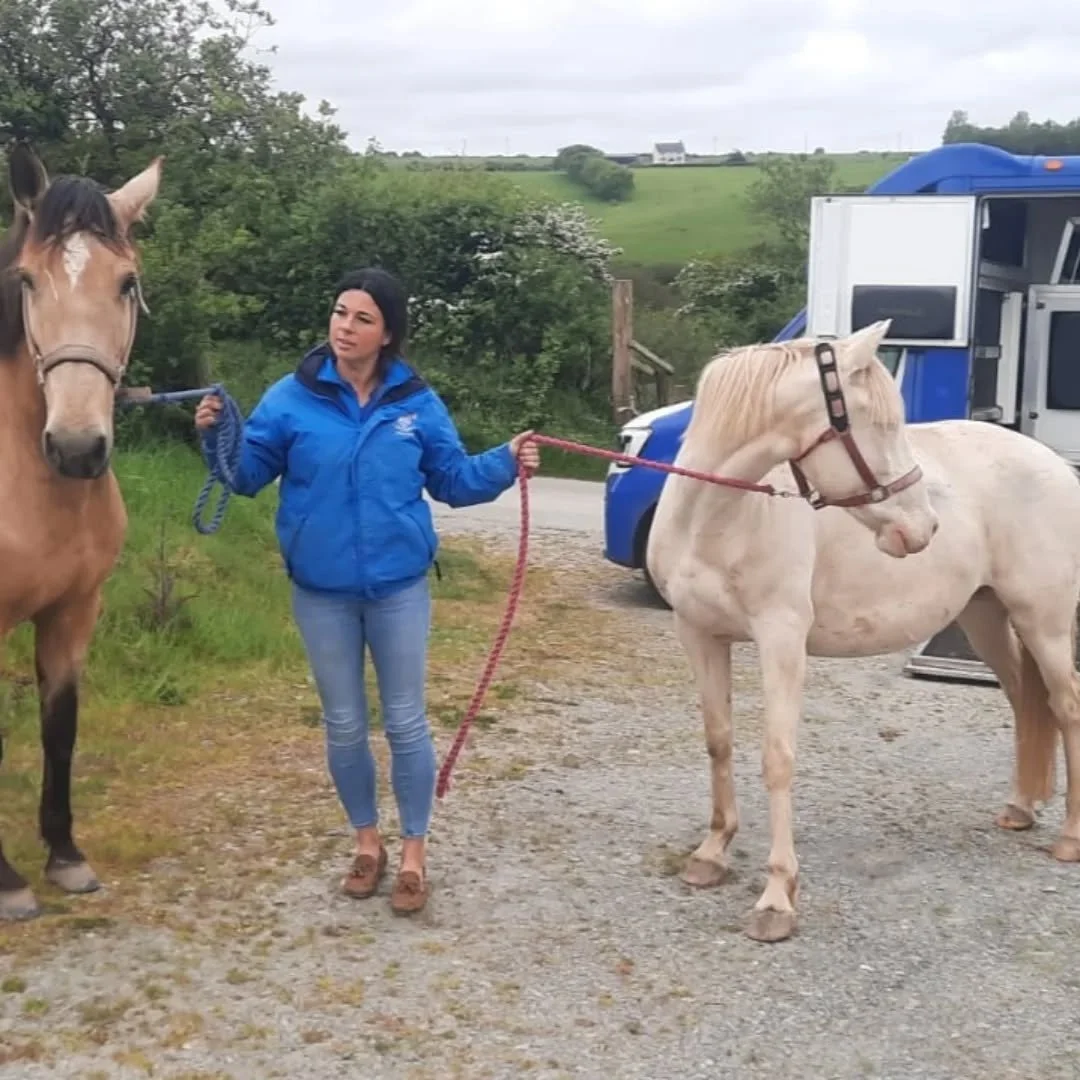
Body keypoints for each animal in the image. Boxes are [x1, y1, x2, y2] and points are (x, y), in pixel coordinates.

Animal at [646, 318, 1080, 943]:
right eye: (878, 423)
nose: (924, 528)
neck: (716, 516)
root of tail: (1055, 467)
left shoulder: (781, 639)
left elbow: (778, 757)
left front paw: (777, 899)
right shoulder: (698, 634)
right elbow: (718, 741)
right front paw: (712, 853)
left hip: (1043, 621)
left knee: (1066, 708)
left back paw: (1069, 837)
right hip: (985, 617)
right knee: (1026, 701)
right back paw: (1020, 808)